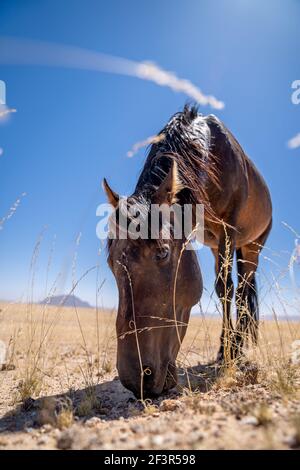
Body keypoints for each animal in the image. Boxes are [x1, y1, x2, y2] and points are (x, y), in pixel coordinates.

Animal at [103, 105, 272, 396]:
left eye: (162, 252)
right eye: (110, 262)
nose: (135, 378)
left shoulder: (229, 229)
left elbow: (228, 289)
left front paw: (231, 354)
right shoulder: (216, 240)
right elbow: (221, 289)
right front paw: (223, 351)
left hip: (252, 247)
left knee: (241, 292)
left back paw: (238, 349)